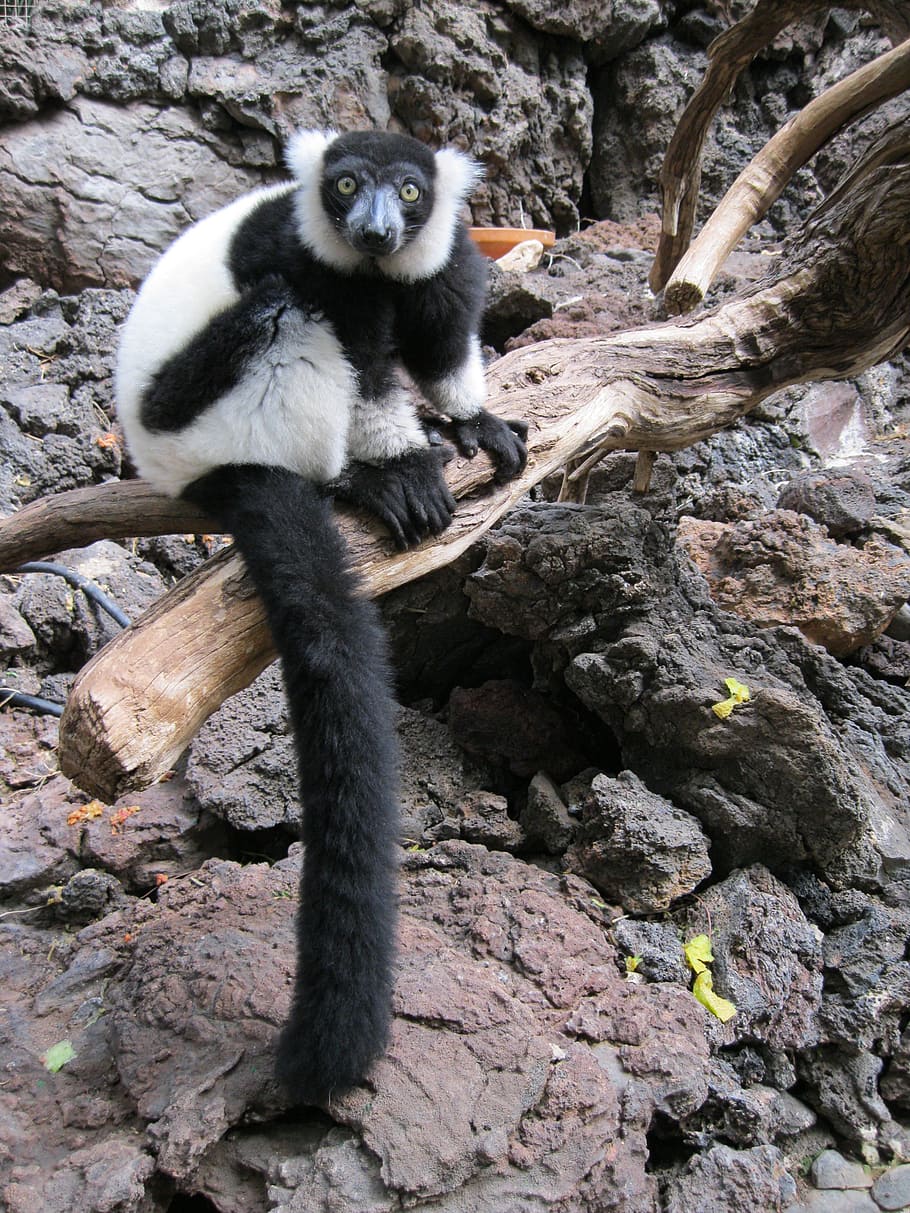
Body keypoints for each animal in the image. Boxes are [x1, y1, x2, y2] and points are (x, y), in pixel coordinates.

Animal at [115, 128, 528, 1103]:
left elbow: (442, 324)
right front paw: (400, 461)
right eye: (343, 187)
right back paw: (349, 477)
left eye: (408, 193)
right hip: (198, 405)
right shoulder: (314, 260)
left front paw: (471, 419)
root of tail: (185, 466)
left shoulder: (440, 252)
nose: (373, 230)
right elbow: (364, 359)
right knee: (286, 315)